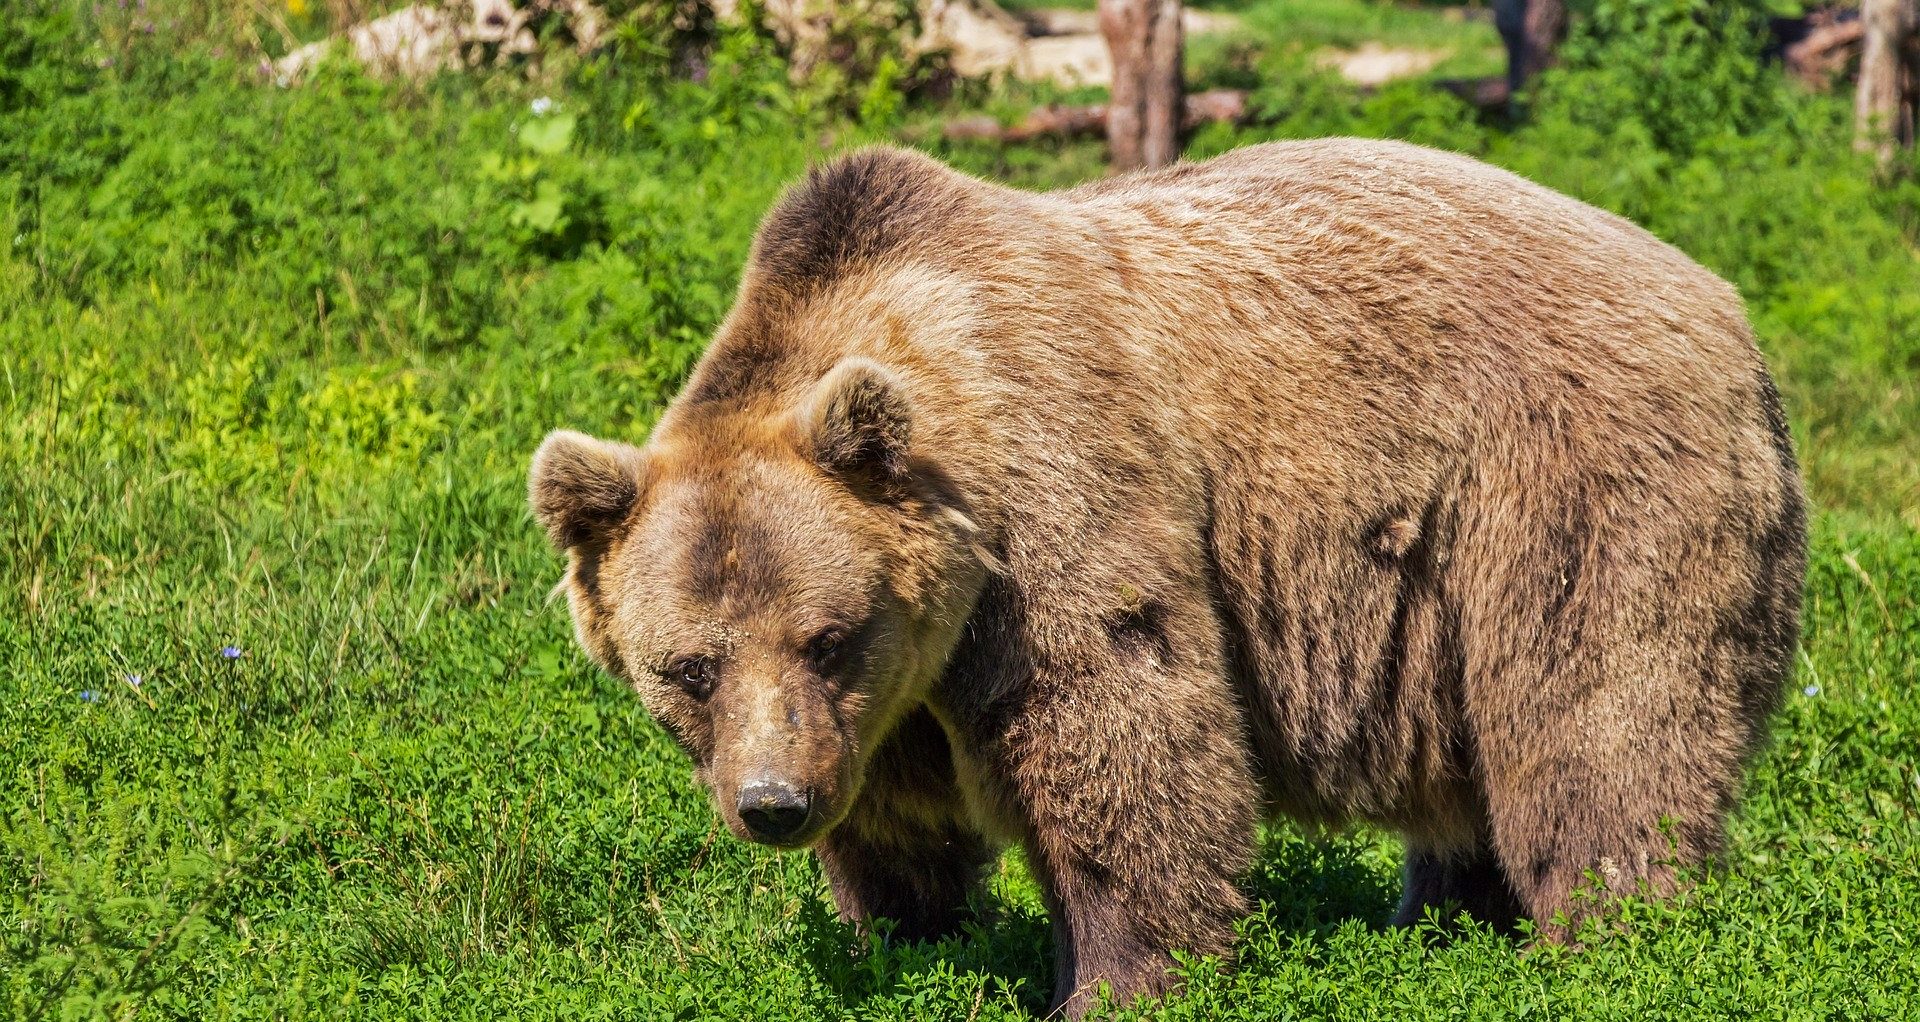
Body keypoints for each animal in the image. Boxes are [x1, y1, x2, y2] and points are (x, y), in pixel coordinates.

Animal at [526, 139, 1797, 1014]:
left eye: (826, 635)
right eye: (688, 667)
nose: (773, 802)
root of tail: (1726, 302)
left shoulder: (1055, 509)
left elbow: (1120, 734)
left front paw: (1116, 977)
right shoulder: (887, 703)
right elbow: (897, 824)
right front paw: (909, 939)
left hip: (1564, 484)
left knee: (1596, 718)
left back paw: (1612, 934)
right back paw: (1441, 923)